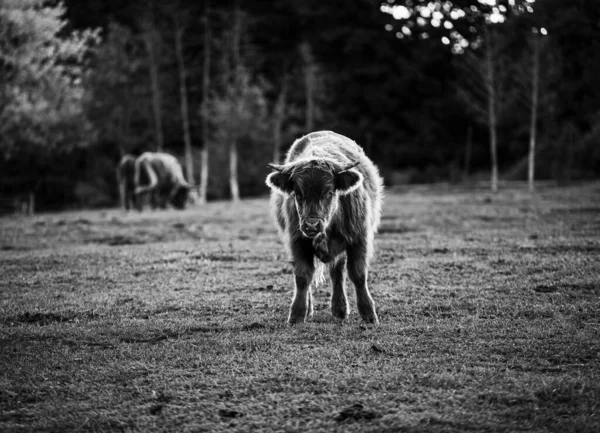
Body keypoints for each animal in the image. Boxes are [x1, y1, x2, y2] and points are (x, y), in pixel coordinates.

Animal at [264, 130, 382, 322]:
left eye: (329, 192)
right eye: (298, 193)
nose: (311, 225)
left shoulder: (359, 238)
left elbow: (358, 275)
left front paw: (369, 315)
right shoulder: (297, 241)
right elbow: (302, 277)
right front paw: (297, 315)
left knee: (337, 272)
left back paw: (340, 309)